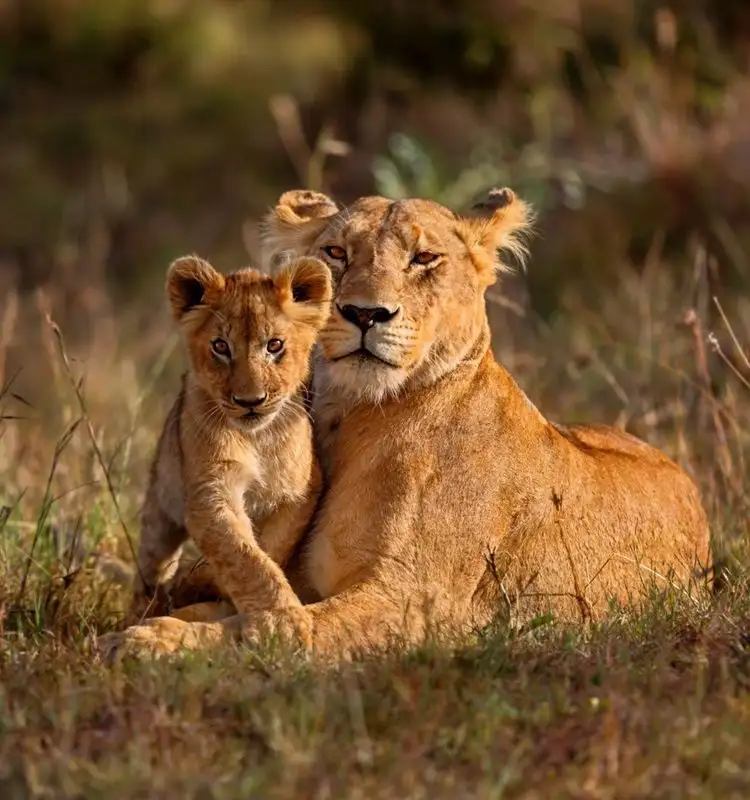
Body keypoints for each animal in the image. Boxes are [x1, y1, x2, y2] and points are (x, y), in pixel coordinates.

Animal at [121, 253, 332, 628]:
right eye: (220, 346)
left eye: (274, 345)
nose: (250, 401)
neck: (257, 438)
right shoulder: (210, 491)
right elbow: (243, 555)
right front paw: (281, 620)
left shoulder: (300, 493)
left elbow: (269, 548)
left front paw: (206, 582)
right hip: (160, 508)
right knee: (151, 565)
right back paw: (143, 608)